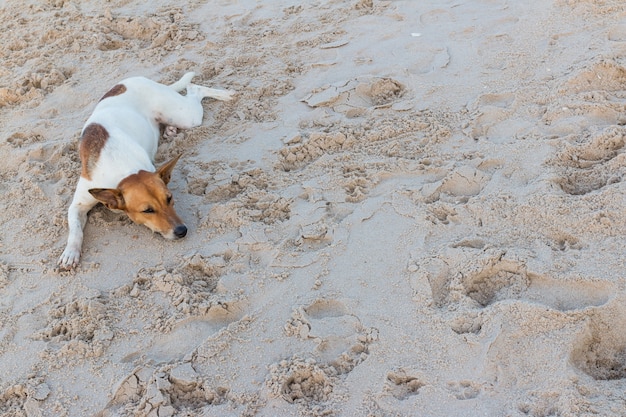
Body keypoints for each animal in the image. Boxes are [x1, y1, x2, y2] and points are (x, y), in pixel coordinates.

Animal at [57, 72, 233, 268]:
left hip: (187, 116)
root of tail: (138, 79)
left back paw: (226, 94)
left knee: (195, 89)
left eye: (169, 198)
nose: (182, 231)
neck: (122, 170)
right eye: (147, 210)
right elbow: (75, 230)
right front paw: (70, 252)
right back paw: (170, 129)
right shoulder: (78, 204)